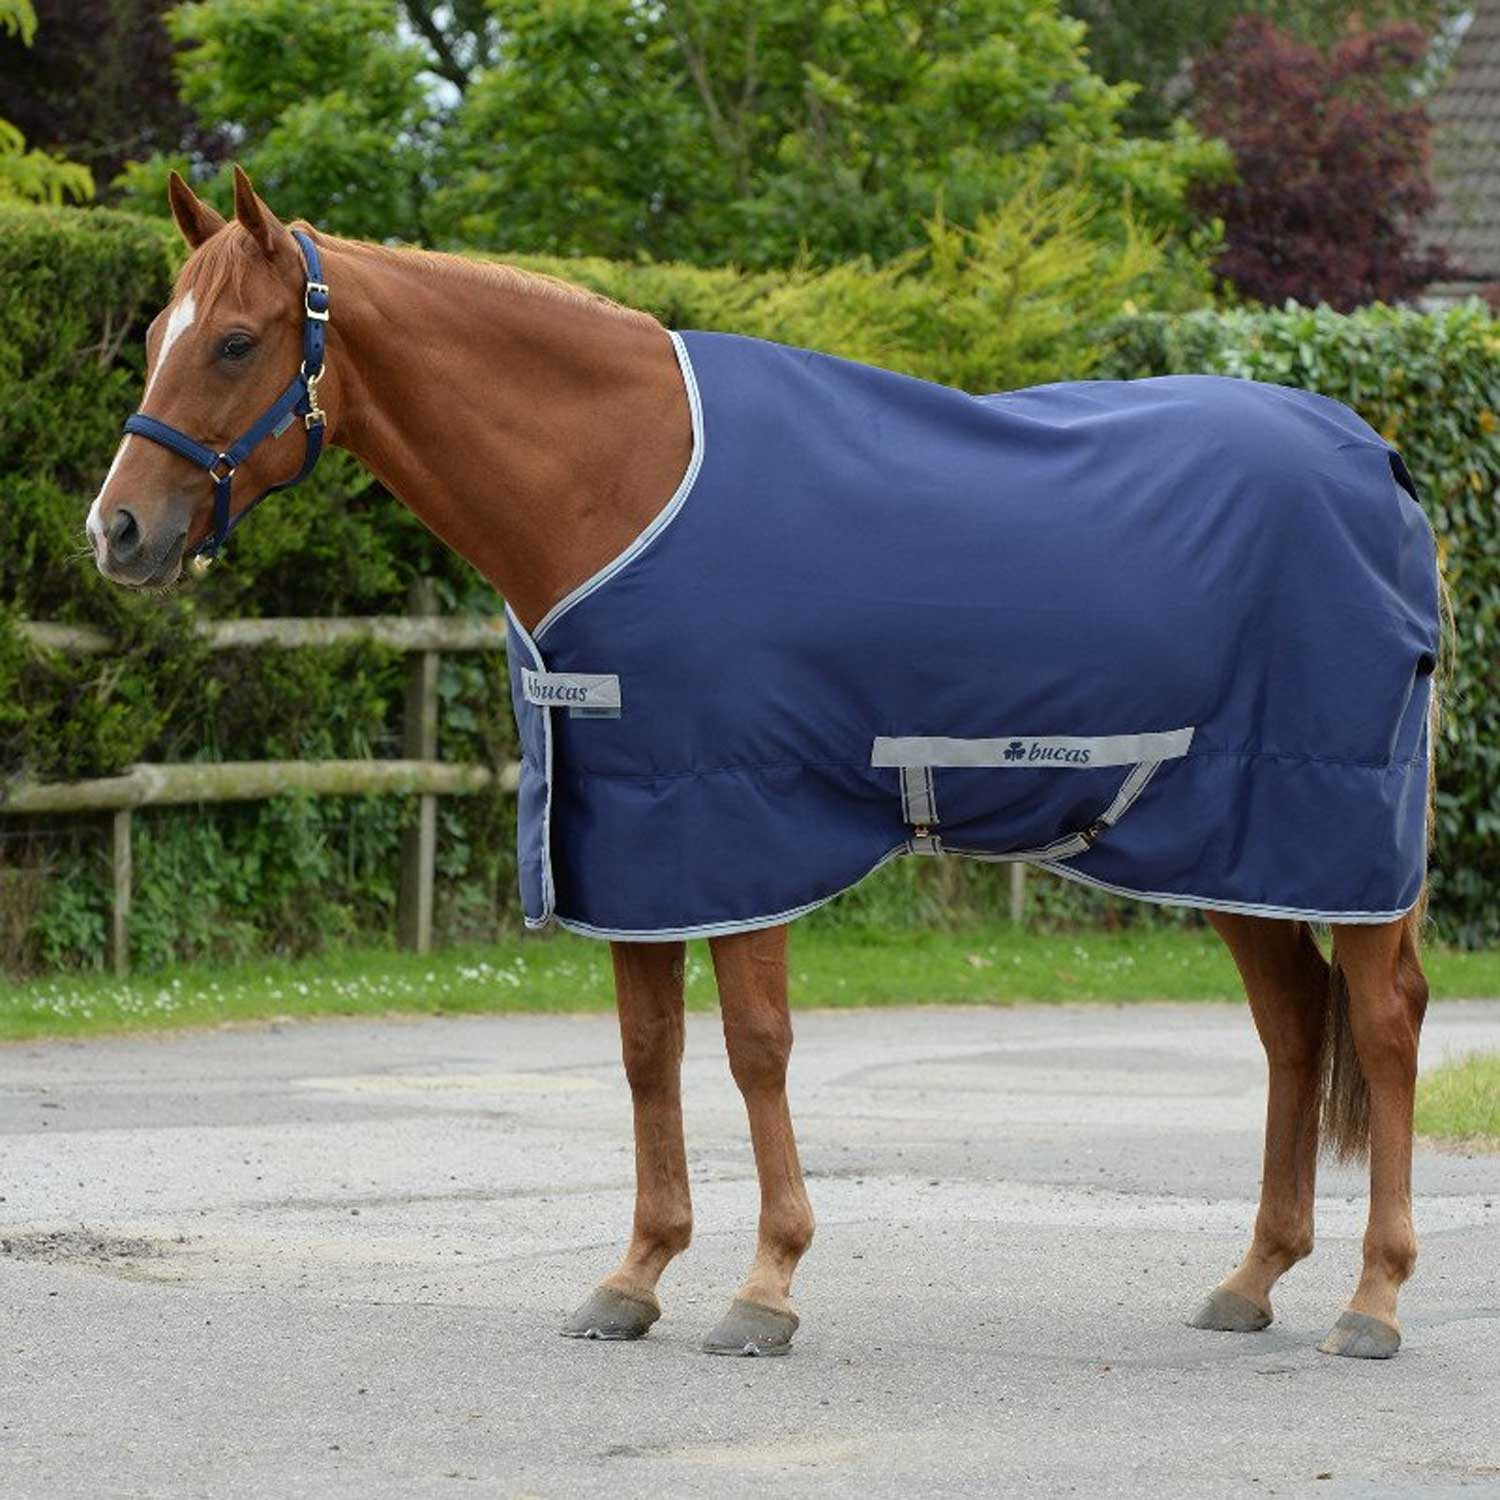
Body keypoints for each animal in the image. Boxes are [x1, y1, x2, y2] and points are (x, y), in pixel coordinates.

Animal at [88, 168, 1440, 1362]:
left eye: (236, 343)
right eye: (156, 331)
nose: (117, 530)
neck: (620, 484)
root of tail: (1377, 459)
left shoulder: (743, 824)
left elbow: (754, 1047)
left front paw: (766, 1286)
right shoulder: (633, 841)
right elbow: (648, 1052)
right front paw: (634, 1276)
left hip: (1341, 833)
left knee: (1380, 1023)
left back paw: (1374, 1301)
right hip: (1244, 847)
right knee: (1290, 1028)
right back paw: (1253, 1279)